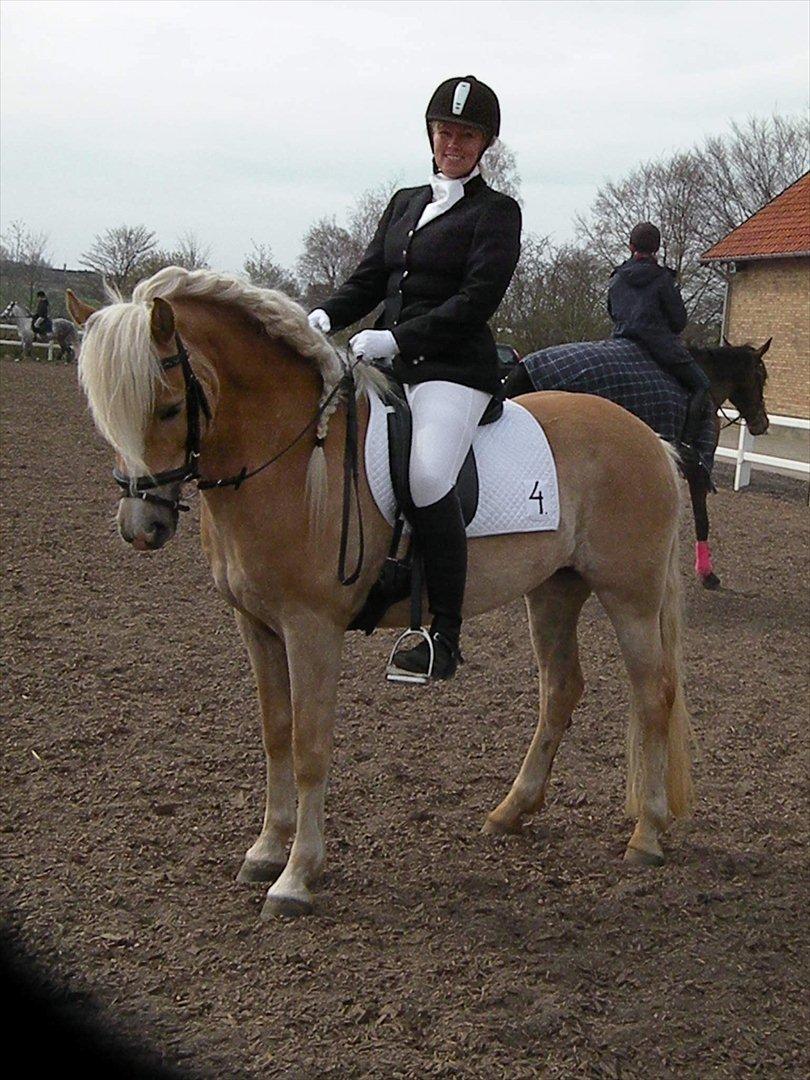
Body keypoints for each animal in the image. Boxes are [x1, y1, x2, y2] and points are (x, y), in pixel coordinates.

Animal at [66, 267, 695, 920]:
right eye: (105, 417)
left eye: (168, 409)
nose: (142, 527)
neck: (292, 457)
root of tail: (649, 437)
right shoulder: (257, 626)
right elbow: (275, 734)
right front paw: (264, 850)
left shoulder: (311, 628)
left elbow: (310, 745)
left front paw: (295, 877)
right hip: (552, 591)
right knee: (561, 690)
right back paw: (510, 812)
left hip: (630, 596)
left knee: (653, 694)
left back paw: (646, 836)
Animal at [507, 336, 773, 591]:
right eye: (761, 376)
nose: (762, 423)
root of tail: (523, 366)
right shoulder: (697, 466)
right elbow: (702, 519)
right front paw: (707, 574)